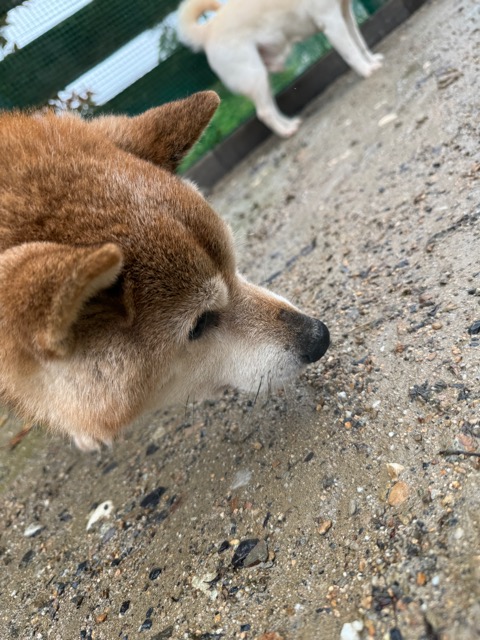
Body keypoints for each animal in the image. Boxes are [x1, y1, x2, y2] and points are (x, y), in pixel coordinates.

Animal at [177, 0, 383, 137]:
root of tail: (208, 30)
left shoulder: (346, 15)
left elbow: (360, 44)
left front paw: (372, 61)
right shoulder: (332, 22)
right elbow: (352, 53)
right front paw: (366, 70)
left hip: (262, 78)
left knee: (270, 108)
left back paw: (290, 123)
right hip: (255, 77)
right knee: (265, 113)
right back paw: (286, 131)